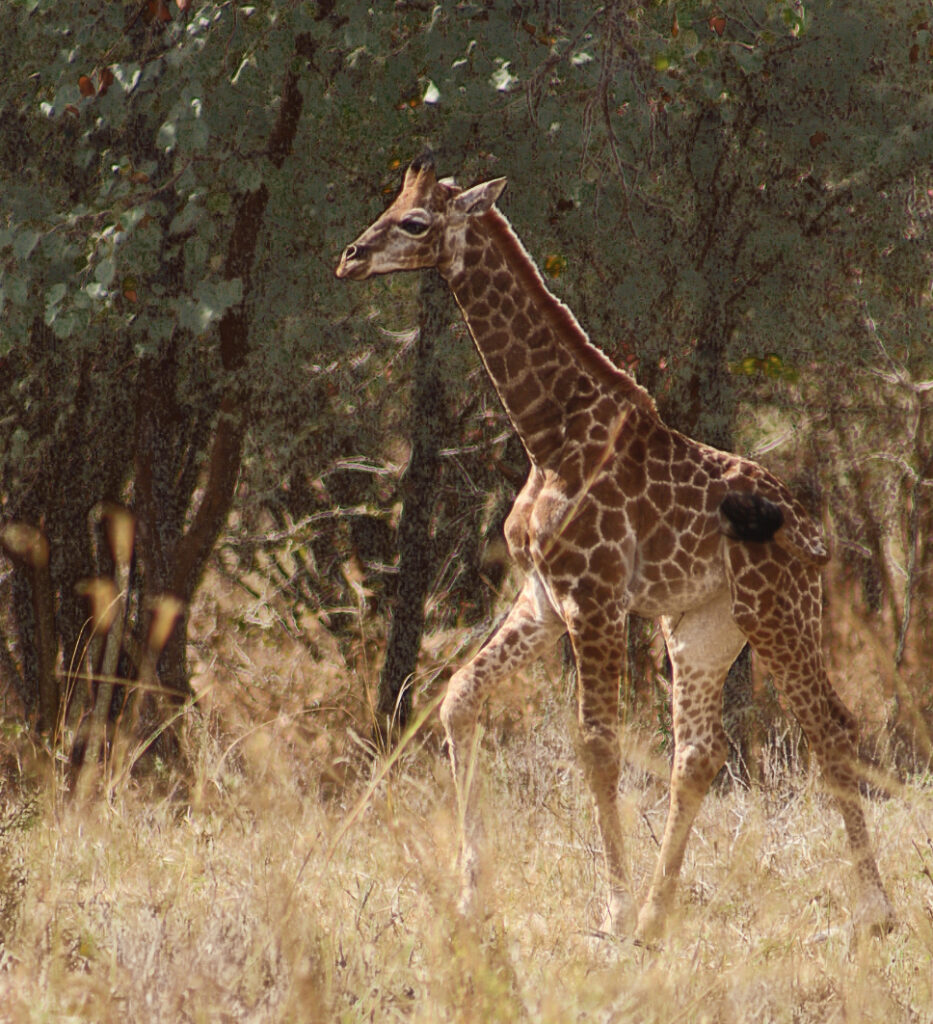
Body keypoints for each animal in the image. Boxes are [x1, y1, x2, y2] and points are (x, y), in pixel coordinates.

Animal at [335, 154, 895, 943]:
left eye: (415, 222)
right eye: (389, 207)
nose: (350, 257)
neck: (550, 436)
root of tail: (810, 528)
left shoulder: (593, 598)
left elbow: (596, 745)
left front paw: (610, 910)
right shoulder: (542, 596)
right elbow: (458, 700)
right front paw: (476, 900)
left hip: (777, 613)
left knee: (829, 730)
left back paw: (874, 912)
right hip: (701, 627)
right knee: (699, 754)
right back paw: (661, 917)